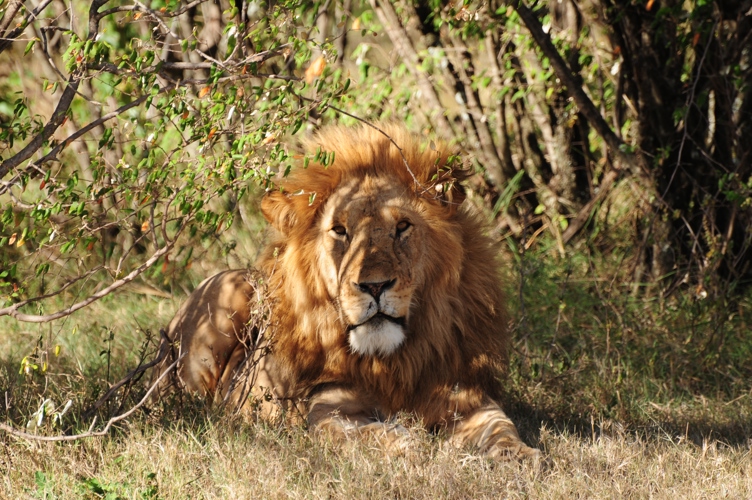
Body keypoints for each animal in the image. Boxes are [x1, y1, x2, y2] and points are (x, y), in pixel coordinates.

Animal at [153, 123, 540, 458]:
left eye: (402, 227)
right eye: (340, 231)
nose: (374, 285)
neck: (393, 363)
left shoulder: (466, 396)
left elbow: (502, 427)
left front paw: (518, 457)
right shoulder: (327, 410)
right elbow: (369, 434)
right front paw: (409, 444)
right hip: (228, 297)